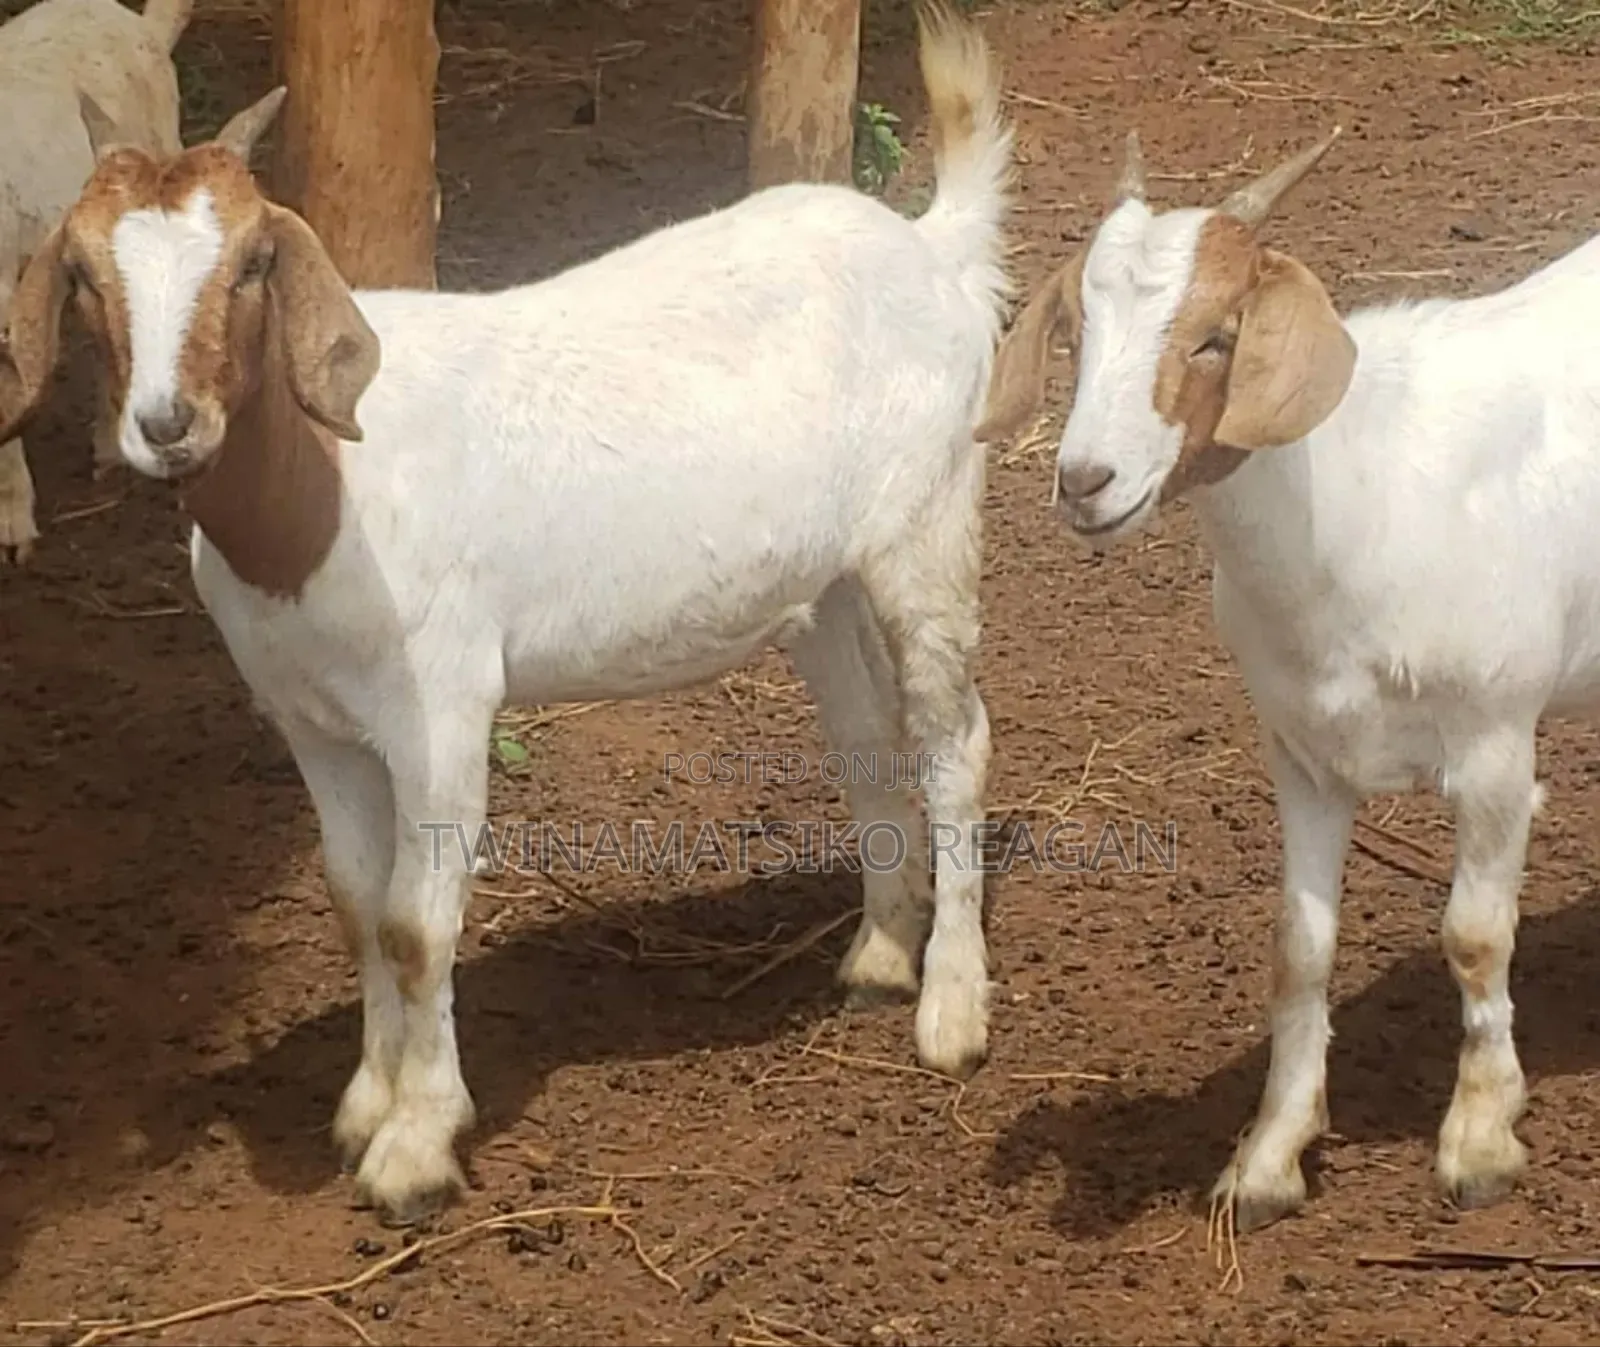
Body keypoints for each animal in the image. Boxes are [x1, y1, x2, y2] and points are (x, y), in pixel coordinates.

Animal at [978, 128, 1600, 1231]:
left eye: (1215, 337)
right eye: (1078, 332)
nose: (1084, 481)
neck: (1362, 501)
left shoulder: (1493, 741)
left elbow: (1474, 936)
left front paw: (1481, 1138)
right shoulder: (1303, 754)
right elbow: (1297, 945)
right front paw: (1268, 1156)